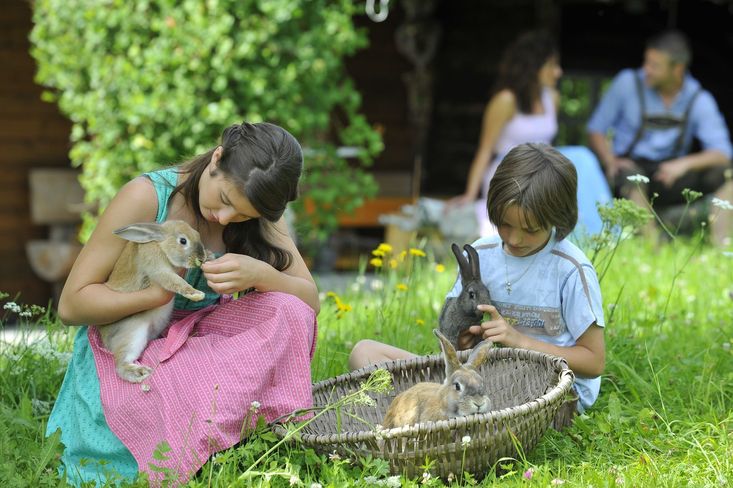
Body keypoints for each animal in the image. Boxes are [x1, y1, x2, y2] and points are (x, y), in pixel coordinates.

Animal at [97, 219, 209, 384]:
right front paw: (196, 294)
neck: (160, 244)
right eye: (183, 241)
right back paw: (140, 373)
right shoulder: (158, 268)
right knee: (121, 364)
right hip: (133, 333)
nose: (201, 258)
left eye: (197, 234)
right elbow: (175, 281)